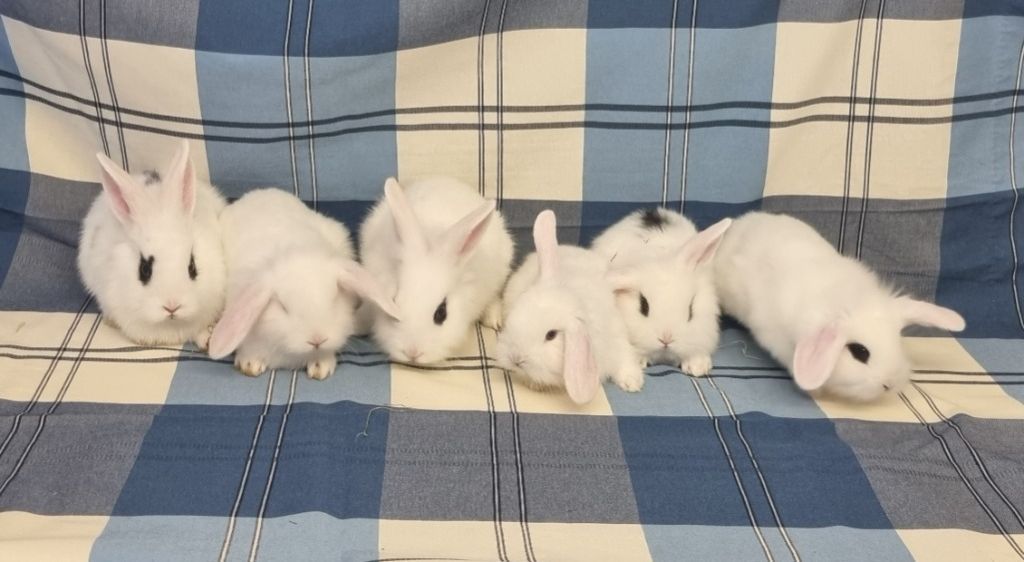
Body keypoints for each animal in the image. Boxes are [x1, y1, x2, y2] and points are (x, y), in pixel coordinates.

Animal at [207, 188, 399, 380]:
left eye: (334, 298)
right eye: (283, 307)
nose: (317, 340)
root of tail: (263, 191)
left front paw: (321, 367)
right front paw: (249, 364)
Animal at [496, 210, 645, 405]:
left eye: (551, 335)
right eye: (515, 315)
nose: (516, 359)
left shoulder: (616, 337)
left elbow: (625, 358)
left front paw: (633, 383)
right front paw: (535, 384)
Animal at [713, 211, 966, 402]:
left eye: (898, 342)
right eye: (859, 352)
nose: (890, 384)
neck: (844, 300)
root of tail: (740, 222)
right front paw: (815, 392)